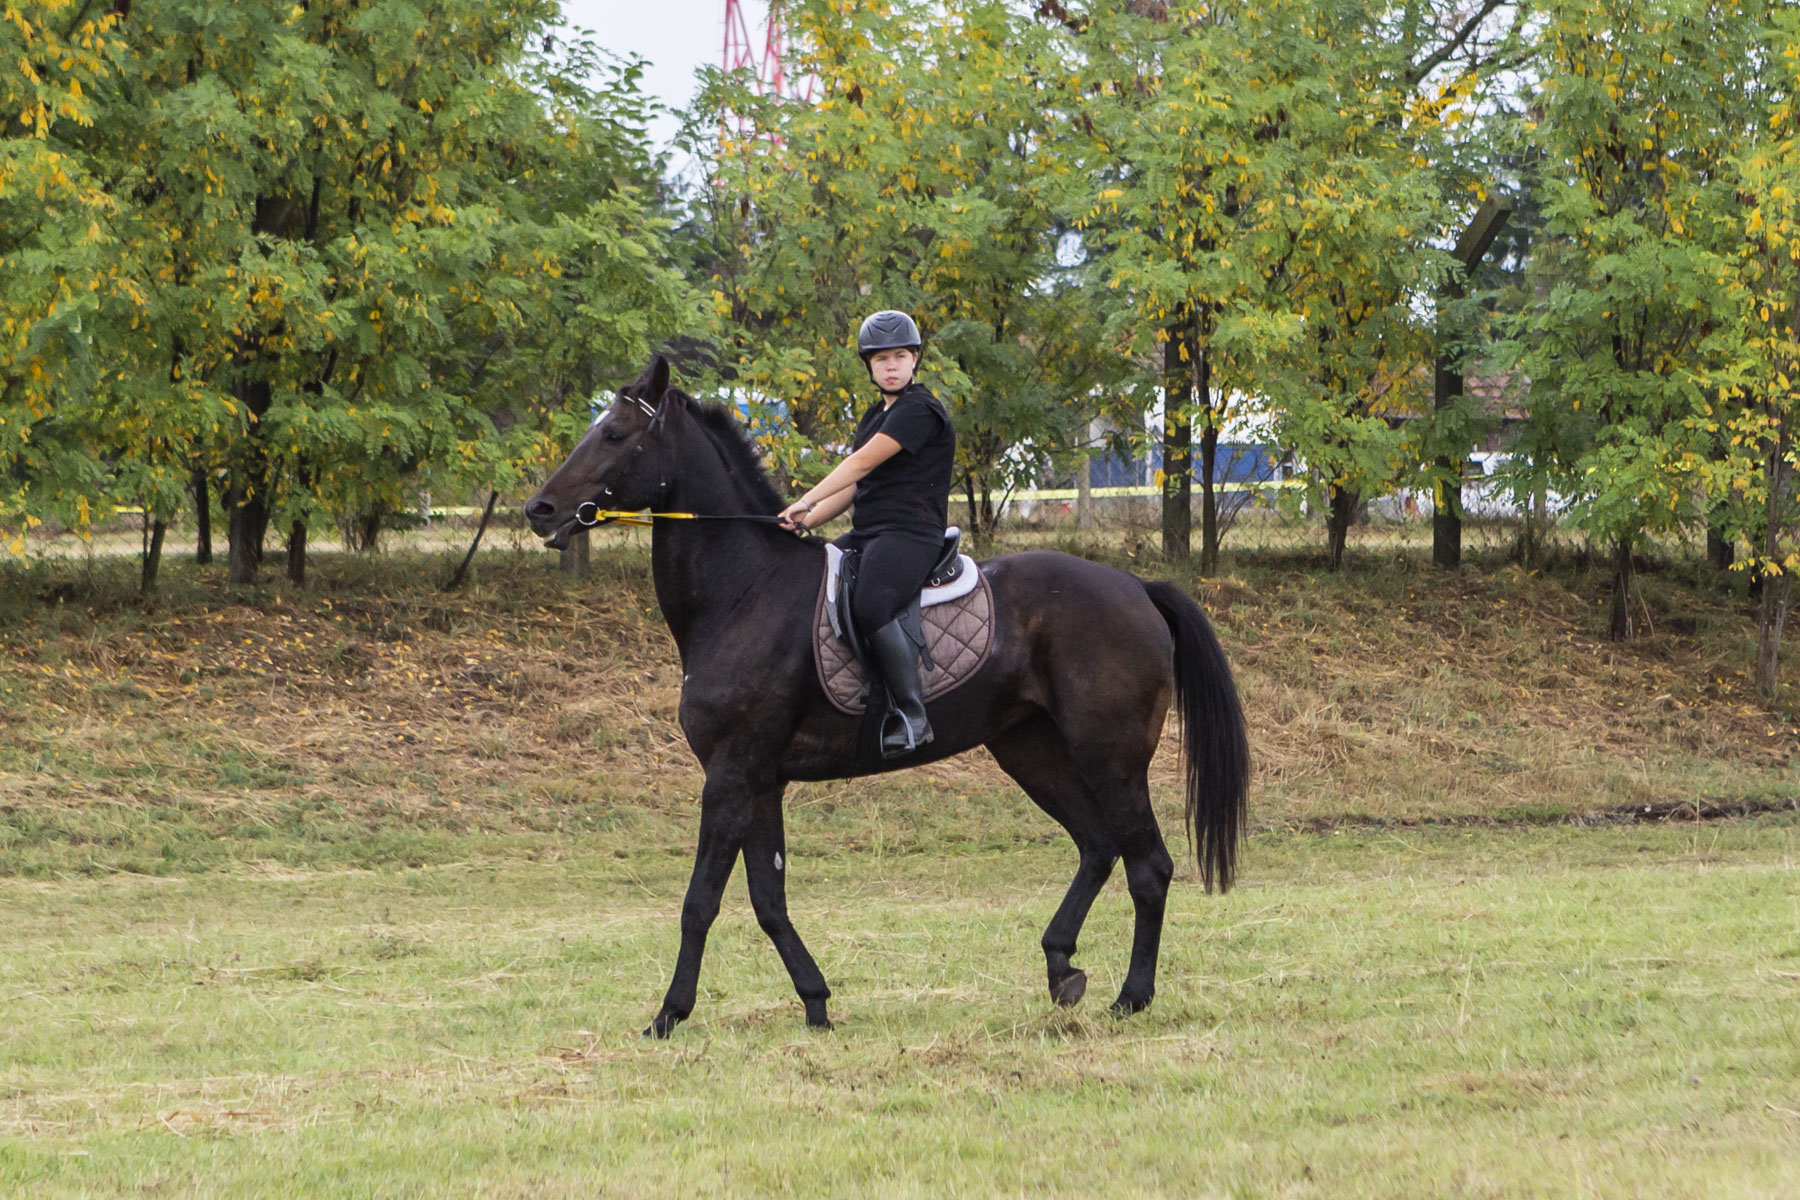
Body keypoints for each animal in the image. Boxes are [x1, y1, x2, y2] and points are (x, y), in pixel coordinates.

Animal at [525, 354, 1245, 1036]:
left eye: (613, 434)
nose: (540, 511)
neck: (744, 590)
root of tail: (1136, 588)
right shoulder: (759, 779)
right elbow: (767, 899)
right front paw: (815, 1003)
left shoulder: (729, 773)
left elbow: (700, 901)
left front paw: (668, 1015)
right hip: (1029, 749)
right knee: (1097, 845)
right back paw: (1062, 966)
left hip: (1111, 758)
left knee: (1147, 865)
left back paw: (1131, 997)